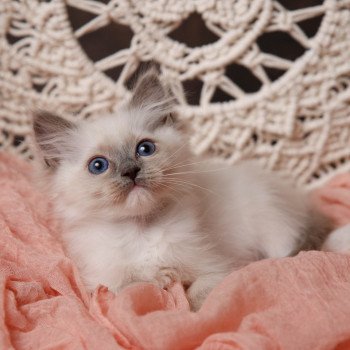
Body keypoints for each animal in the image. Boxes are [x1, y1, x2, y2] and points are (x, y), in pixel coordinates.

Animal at [31, 69, 332, 310]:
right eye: (98, 165)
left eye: (145, 149)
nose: (131, 171)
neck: (141, 229)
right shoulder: (103, 281)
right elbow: (132, 286)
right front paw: (159, 279)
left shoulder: (216, 267)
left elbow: (198, 295)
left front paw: (193, 315)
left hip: (273, 227)